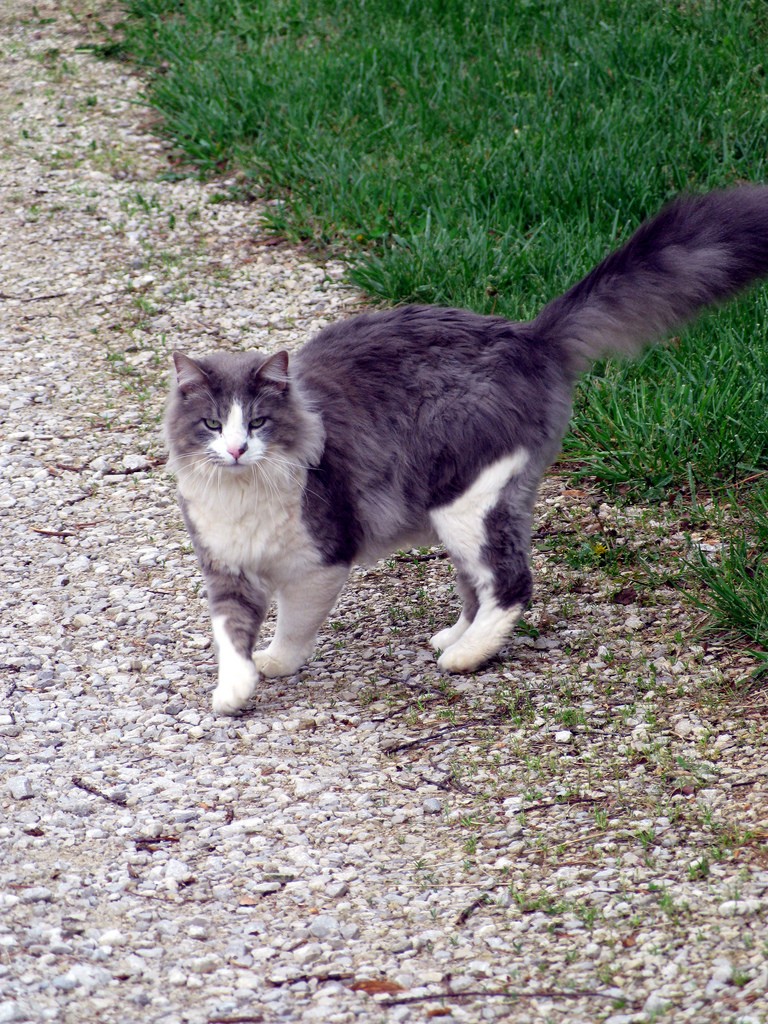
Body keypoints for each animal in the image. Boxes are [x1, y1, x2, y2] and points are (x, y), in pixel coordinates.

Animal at [165, 186, 768, 712]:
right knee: (477, 585)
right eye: (213, 424)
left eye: (258, 422)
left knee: (510, 583)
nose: (237, 450)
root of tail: (529, 336)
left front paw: (276, 663)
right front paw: (234, 690)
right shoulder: (224, 567)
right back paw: (453, 637)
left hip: (468, 501)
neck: (243, 496)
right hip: (458, 514)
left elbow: (292, 626)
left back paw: (466, 655)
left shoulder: (319, 561)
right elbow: (229, 634)